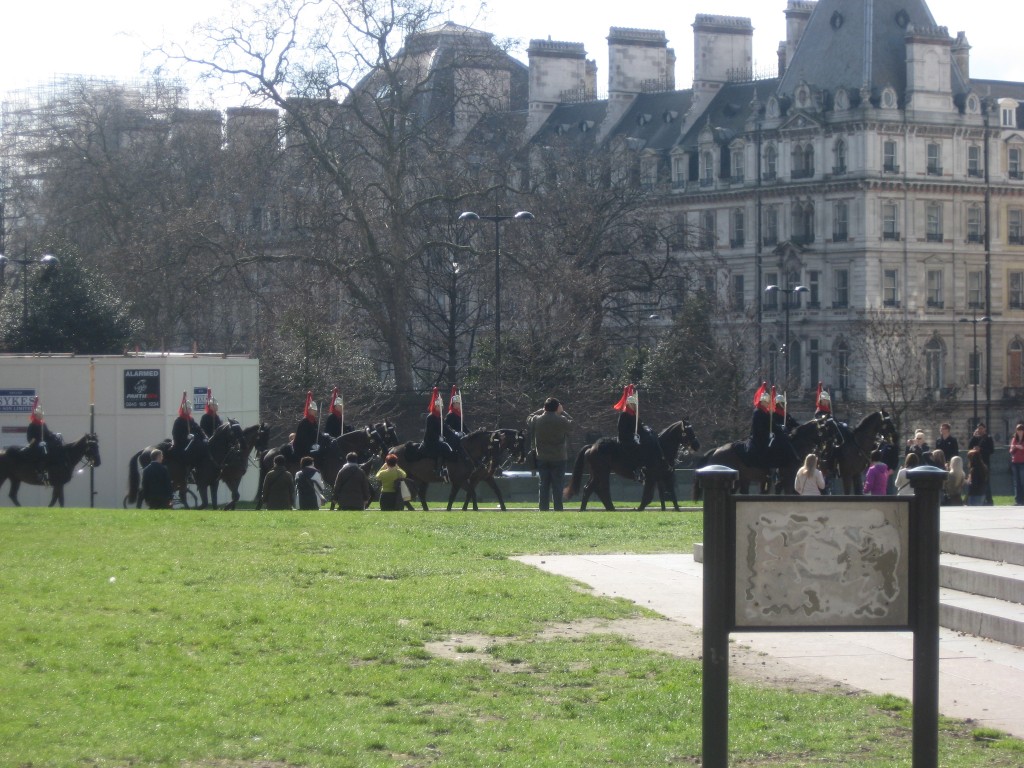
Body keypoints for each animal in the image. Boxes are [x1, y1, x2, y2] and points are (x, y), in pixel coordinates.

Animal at [565, 421, 700, 512]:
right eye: (687, 431)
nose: (697, 445)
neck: (661, 447)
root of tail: (592, 446)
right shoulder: (651, 476)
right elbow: (648, 496)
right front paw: (640, 508)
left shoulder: (665, 476)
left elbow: (671, 494)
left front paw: (676, 509)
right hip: (602, 473)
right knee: (599, 489)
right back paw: (603, 508)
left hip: (597, 473)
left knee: (591, 488)